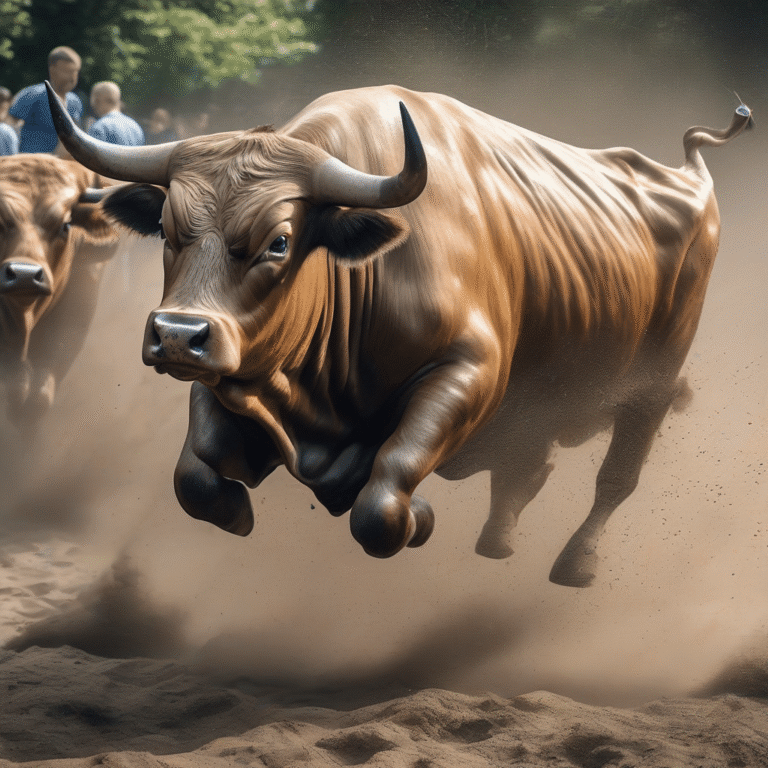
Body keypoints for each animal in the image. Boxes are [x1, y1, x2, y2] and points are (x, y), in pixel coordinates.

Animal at [47, 82, 751, 587]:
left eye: (280, 241)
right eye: (167, 231)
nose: (175, 335)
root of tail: (687, 177)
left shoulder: (469, 371)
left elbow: (386, 496)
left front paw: (422, 516)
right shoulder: (231, 363)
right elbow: (196, 475)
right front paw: (238, 505)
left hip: (653, 384)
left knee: (615, 478)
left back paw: (576, 563)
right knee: (528, 466)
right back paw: (498, 542)